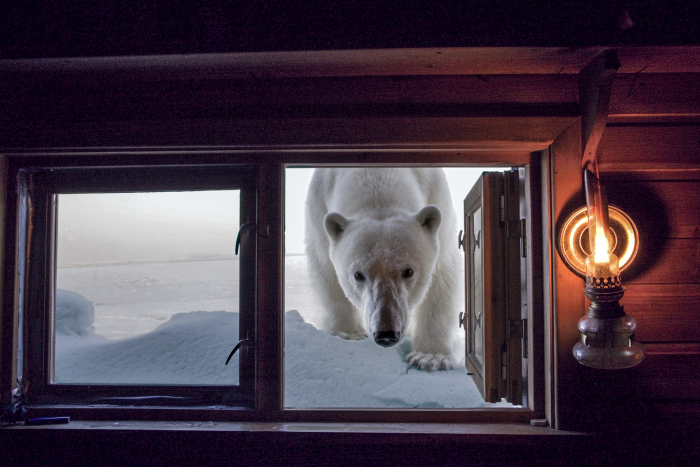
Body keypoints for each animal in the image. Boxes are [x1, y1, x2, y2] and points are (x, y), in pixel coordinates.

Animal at [304, 169, 462, 372]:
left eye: (408, 271)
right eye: (358, 275)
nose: (386, 334)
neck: (377, 176)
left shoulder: (438, 198)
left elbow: (441, 278)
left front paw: (430, 357)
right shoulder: (318, 208)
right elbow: (327, 271)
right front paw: (348, 333)